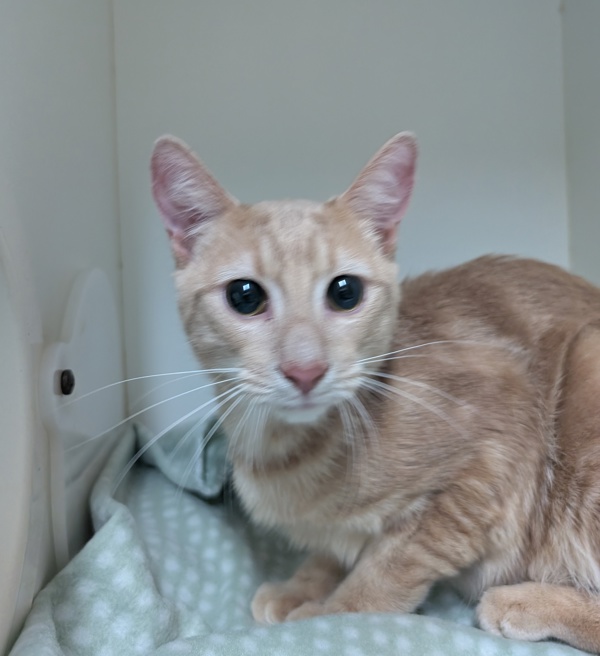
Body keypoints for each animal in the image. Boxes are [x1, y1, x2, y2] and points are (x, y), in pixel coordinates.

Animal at [151, 132, 600, 653]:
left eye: (345, 292)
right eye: (245, 296)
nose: (305, 370)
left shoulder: (495, 454)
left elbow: (391, 565)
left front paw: (331, 611)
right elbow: (336, 550)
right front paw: (303, 583)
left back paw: (524, 601)